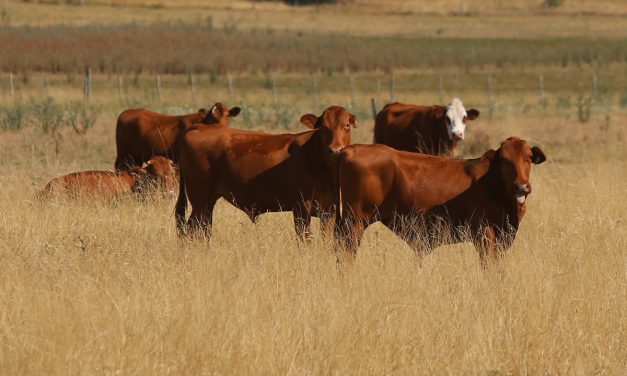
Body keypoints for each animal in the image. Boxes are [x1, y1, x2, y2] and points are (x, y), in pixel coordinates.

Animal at [177, 106, 358, 241]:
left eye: (347, 125)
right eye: (323, 127)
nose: (335, 150)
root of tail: (199, 127)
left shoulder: (329, 209)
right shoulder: (300, 208)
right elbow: (305, 239)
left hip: (208, 202)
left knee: (204, 228)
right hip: (199, 200)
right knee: (192, 228)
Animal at [336, 137, 548, 262]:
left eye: (529, 157)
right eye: (504, 160)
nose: (521, 187)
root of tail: (351, 149)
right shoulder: (484, 233)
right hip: (354, 223)